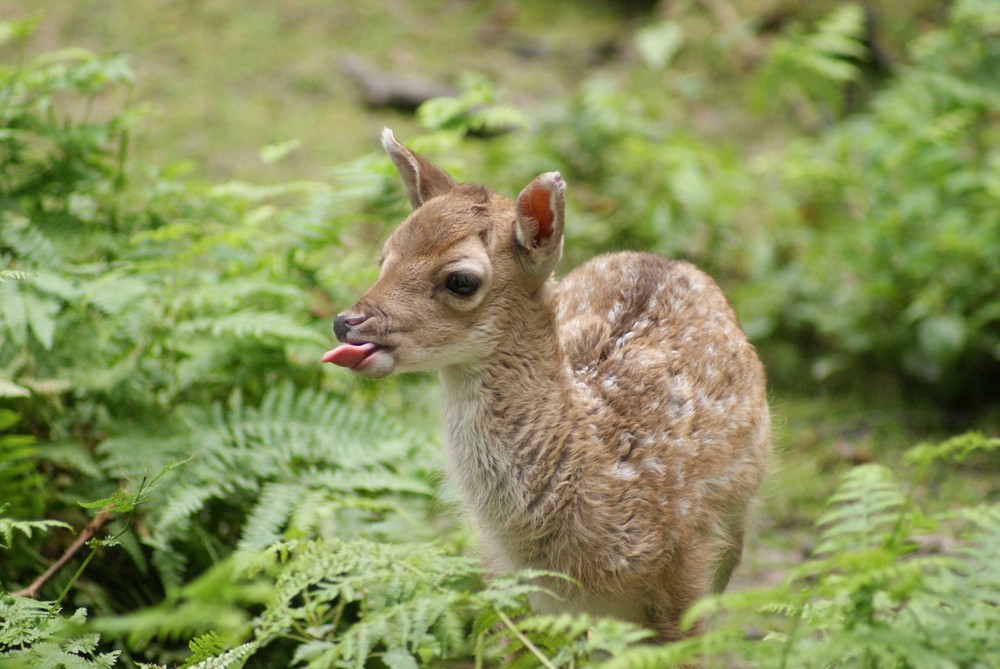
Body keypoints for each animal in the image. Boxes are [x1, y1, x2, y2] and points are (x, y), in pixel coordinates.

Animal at [324, 132, 768, 640]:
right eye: (385, 256)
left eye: (461, 280)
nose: (346, 321)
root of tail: (666, 260)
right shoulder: (507, 580)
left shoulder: (688, 566)